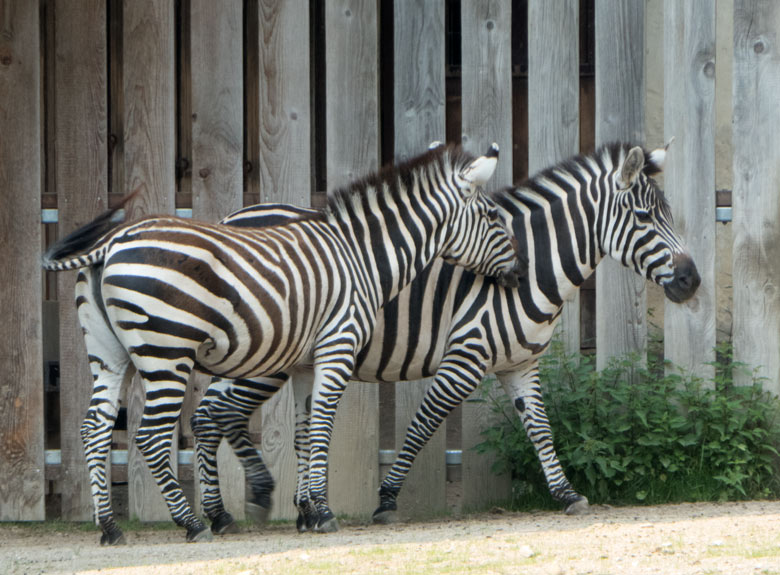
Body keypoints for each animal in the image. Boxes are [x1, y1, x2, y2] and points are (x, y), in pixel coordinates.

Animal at [44, 143, 532, 544]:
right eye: (493, 217)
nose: (521, 273)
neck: (362, 259)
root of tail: (112, 242)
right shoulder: (337, 348)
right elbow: (323, 427)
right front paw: (324, 511)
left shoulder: (304, 365)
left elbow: (302, 433)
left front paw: (307, 512)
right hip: (167, 353)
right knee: (150, 435)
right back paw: (193, 523)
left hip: (110, 355)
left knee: (94, 428)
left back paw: (110, 528)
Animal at [187, 141, 700, 536]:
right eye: (644, 217)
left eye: (668, 213)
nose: (692, 280)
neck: (532, 269)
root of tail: (232, 218)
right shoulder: (465, 358)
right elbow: (421, 427)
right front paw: (387, 501)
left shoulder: (520, 363)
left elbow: (540, 428)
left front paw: (566, 493)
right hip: (265, 355)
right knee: (213, 415)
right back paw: (238, 505)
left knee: (212, 415)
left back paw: (248, 511)